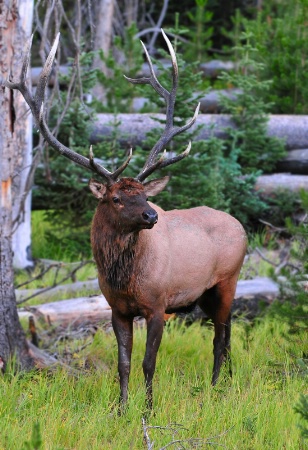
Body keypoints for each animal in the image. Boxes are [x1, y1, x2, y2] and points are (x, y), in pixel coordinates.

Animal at [5, 29, 248, 410]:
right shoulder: (116, 309)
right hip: (205, 295)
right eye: (117, 198)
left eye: (146, 195)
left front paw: (147, 410)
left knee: (221, 337)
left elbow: (149, 363)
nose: (151, 215)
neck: (124, 278)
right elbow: (124, 363)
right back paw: (222, 384)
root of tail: (241, 226)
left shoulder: (158, 304)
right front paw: (121, 409)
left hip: (228, 280)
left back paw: (214, 389)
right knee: (226, 334)